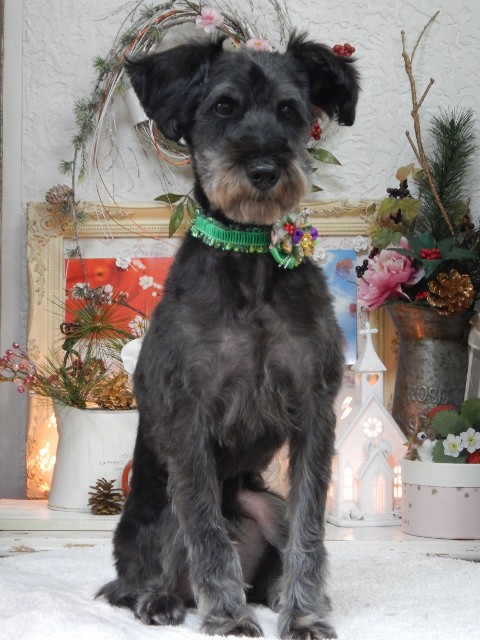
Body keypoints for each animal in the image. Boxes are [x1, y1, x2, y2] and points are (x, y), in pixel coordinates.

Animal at [97, 32, 359, 640]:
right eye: (223, 107)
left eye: (289, 110)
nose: (263, 169)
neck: (251, 259)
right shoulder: (189, 417)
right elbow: (206, 534)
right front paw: (228, 616)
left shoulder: (314, 408)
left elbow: (311, 529)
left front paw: (304, 612)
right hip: (159, 512)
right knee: (150, 569)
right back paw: (162, 600)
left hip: (266, 502)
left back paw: (272, 593)